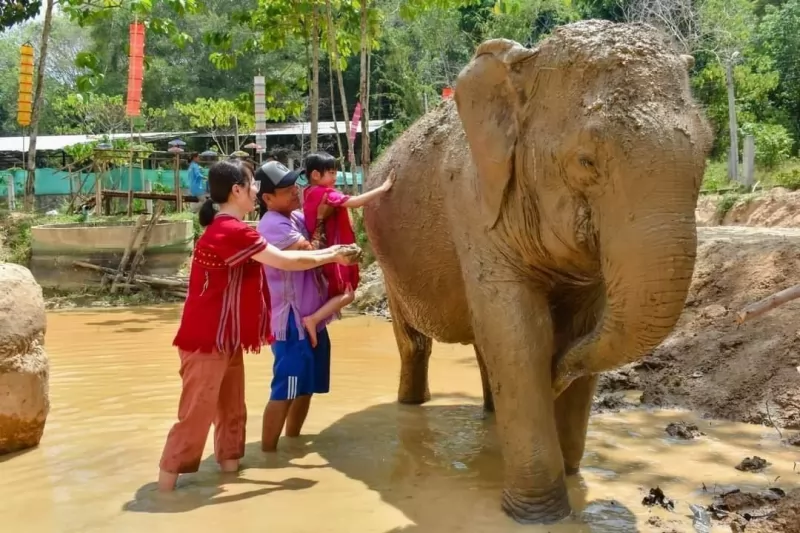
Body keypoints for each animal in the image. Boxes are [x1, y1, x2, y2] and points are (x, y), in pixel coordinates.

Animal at [362, 20, 712, 525]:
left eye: (708, 151)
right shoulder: (472, 205)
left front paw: (571, 477)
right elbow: (521, 335)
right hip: (389, 264)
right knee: (415, 344)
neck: (524, 66)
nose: (557, 376)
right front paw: (539, 515)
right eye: (586, 161)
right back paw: (414, 404)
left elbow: (577, 325)